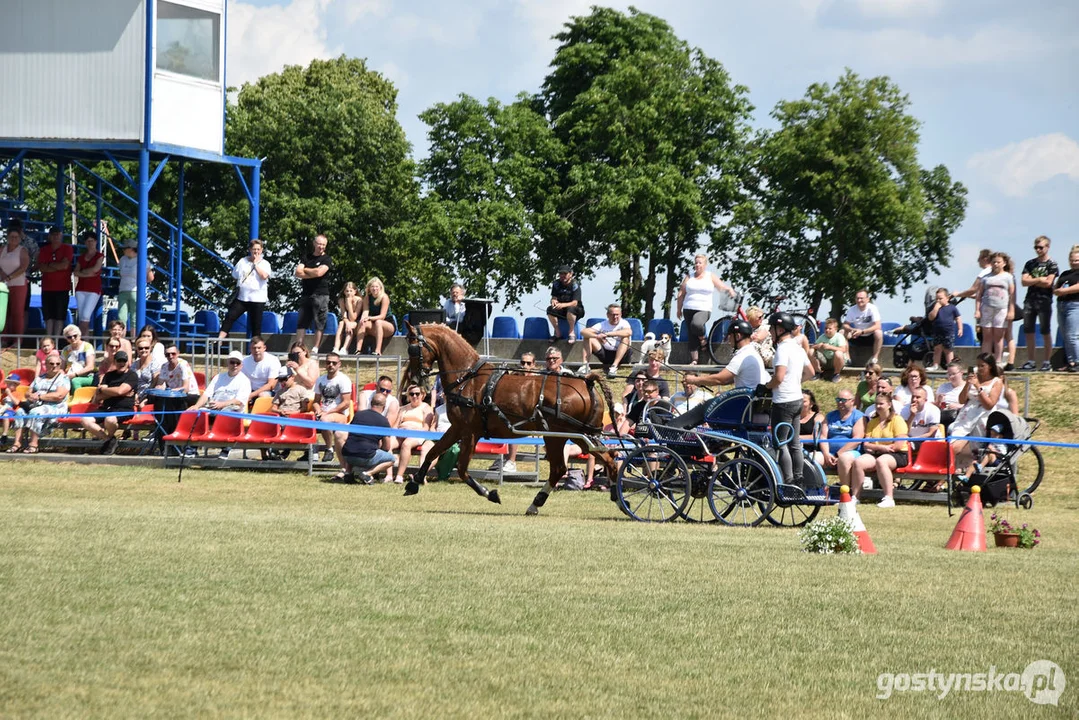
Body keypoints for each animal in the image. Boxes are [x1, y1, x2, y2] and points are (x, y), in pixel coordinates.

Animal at [401, 323, 621, 515]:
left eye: (412, 348)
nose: (414, 379)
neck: (467, 378)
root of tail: (588, 383)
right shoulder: (457, 428)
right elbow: (433, 453)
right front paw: (413, 483)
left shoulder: (470, 432)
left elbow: (462, 469)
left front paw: (490, 494)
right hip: (580, 435)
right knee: (607, 459)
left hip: (557, 436)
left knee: (562, 468)